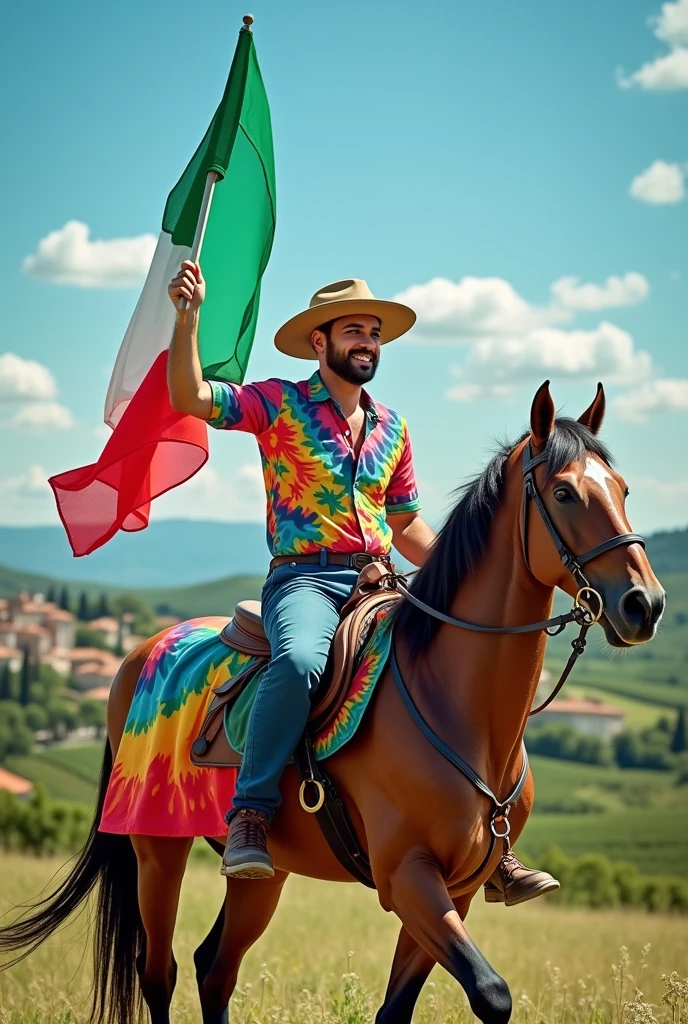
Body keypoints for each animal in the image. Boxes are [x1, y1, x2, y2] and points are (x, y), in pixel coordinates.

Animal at [0, 385, 667, 1024]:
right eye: (564, 492)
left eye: (625, 489)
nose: (646, 603)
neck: (457, 707)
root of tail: (139, 654)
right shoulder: (408, 878)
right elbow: (492, 993)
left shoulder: (459, 888)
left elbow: (399, 1007)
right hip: (157, 852)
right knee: (158, 973)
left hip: (264, 872)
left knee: (215, 967)